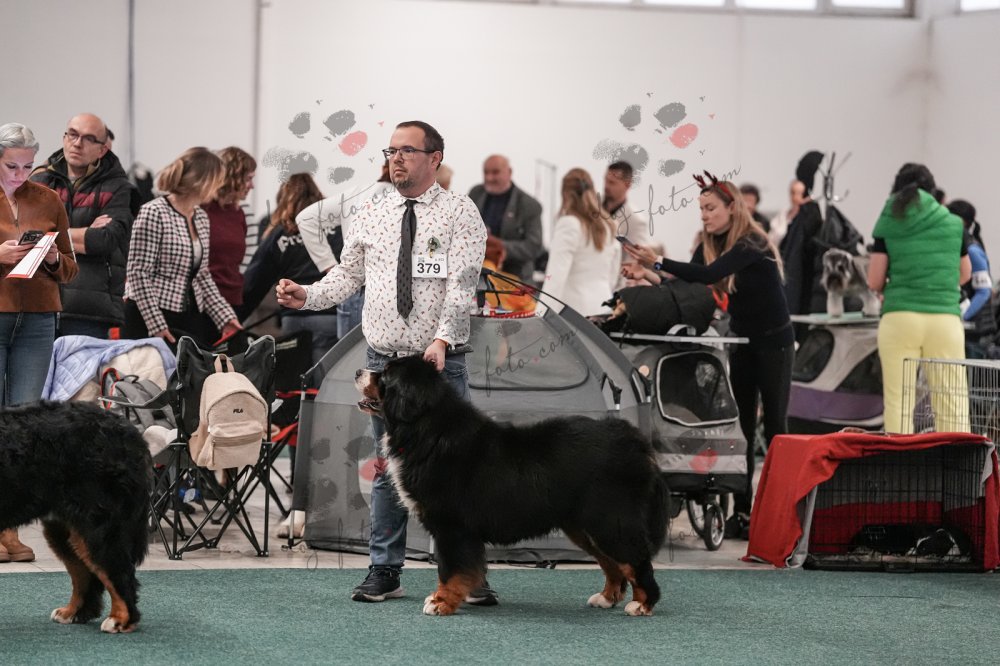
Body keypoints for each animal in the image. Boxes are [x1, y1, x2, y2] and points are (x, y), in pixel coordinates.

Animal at [0, 401, 151, 633]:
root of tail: (128, 428)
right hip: (65, 529)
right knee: (83, 573)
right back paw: (73, 613)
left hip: (99, 525)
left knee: (119, 571)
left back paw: (120, 620)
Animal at [356, 355, 669, 617]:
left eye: (385, 374)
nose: (359, 371)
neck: (427, 430)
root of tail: (634, 440)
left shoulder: (452, 527)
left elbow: (450, 570)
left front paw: (441, 602)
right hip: (585, 526)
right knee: (612, 563)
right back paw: (605, 598)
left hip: (611, 520)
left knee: (636, 560)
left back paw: (642, 604)